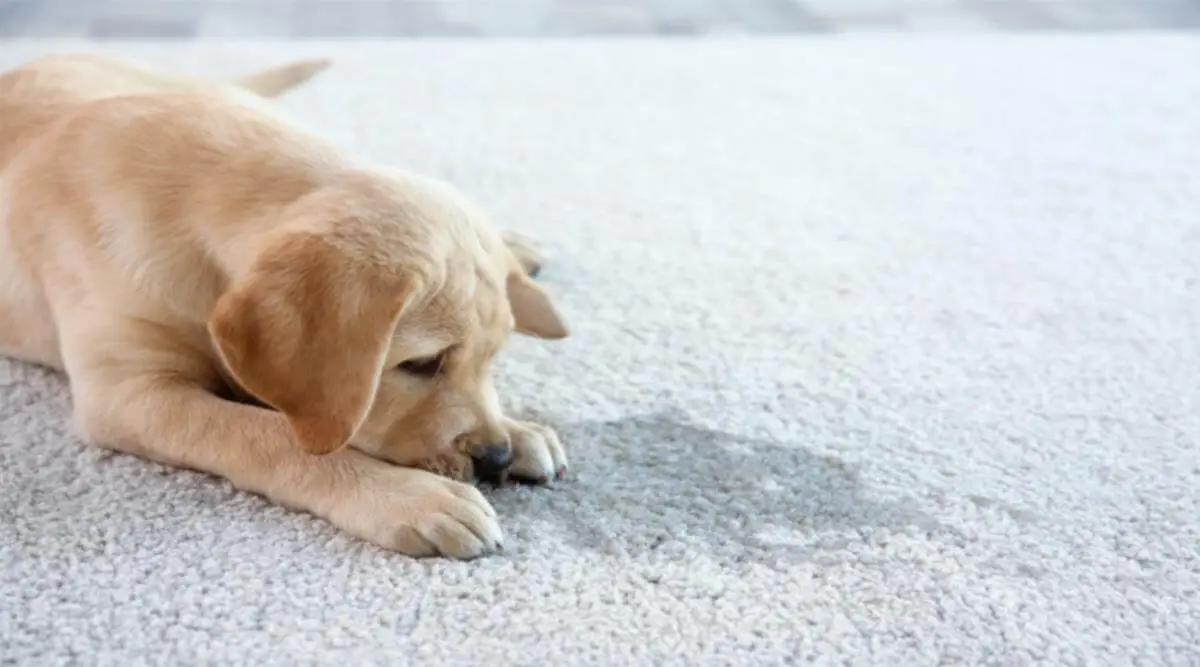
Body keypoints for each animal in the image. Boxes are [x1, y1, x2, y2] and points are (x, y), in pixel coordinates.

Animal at [0, 54, 571, 559]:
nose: (495, 456)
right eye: (422, 364)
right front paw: (406, 495)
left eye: (492, 359)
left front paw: (520, 430)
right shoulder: (130, 392)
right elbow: (266, 433)